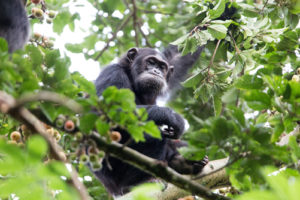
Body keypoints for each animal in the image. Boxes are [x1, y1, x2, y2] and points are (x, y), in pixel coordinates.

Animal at [94, 45, 209, 195]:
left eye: (162, 66)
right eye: (151, 62)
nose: (156, 71)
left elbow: (178, 57)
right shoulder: (112, 73)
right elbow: (110, 111)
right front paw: (173, 117)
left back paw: (186, 162)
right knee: (154, 137)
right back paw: (137, 183)